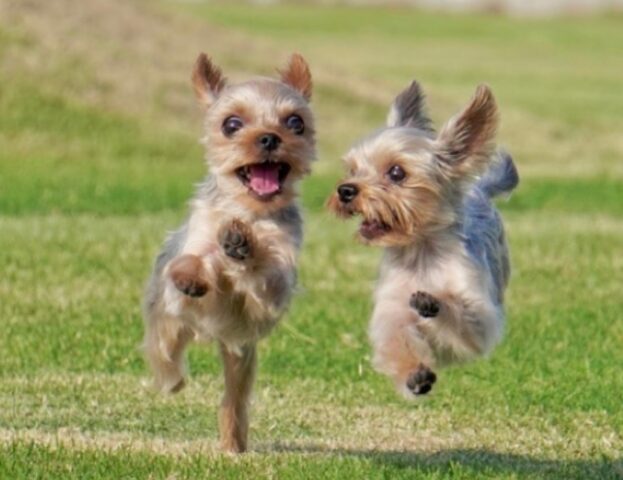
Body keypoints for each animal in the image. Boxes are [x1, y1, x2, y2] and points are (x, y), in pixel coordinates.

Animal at [143, 53, 314, 454]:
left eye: (295, 122)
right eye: (231, 124)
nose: (269, 137)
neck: (249, 211)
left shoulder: (275, 282)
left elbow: (266, 275)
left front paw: (243, 248)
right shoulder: (202, 238)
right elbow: (197, 261)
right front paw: (196, 273)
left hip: (241, 355)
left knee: (233, 400)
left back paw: (233, 443)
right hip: (168, 327)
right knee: (165, 357)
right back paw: (172, 382)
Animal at [330, 81, 520, 398]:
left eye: (396, 172)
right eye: (353, 170)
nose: (345, 190)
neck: (420, 252)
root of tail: (479, 189)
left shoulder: (480, 316)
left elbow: (462, 313)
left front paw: (433, 302)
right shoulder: (392, 308)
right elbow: (397, 338)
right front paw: (414, 374)